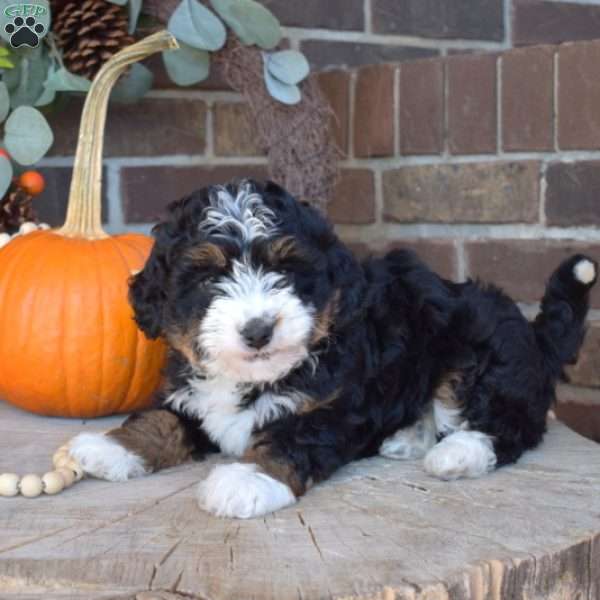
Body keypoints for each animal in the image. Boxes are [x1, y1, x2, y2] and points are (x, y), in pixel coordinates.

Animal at [69, 180, 596, 516]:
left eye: (286, 271)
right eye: (206, 278)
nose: (258, 330)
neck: (255, 377)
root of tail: (535, 336)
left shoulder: (333, 406)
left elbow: (290, 438)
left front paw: (248, 478)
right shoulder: (192, 396)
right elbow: (161, 419)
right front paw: (109, 446)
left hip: (478, 355)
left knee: (512, 425)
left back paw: (458, 453)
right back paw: (406, 437)